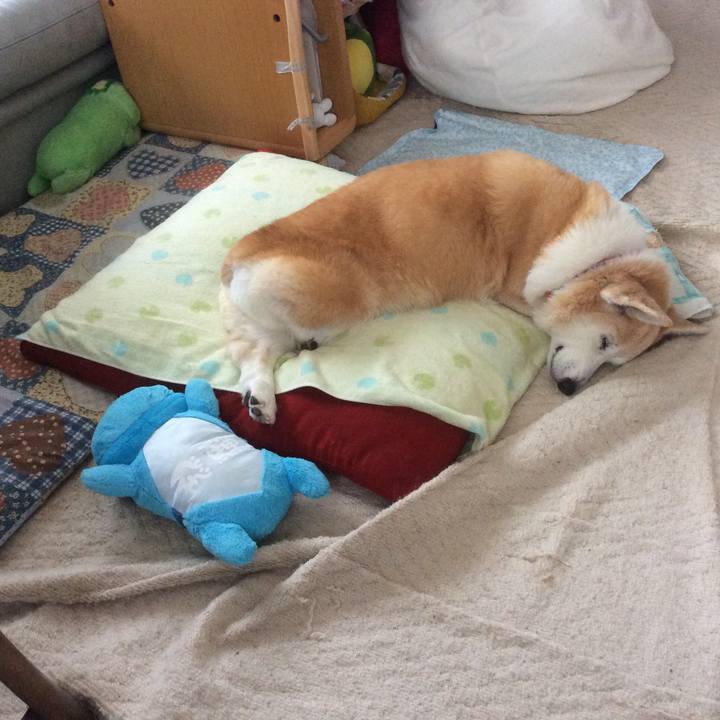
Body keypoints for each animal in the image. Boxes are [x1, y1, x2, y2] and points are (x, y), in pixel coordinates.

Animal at [220, 150, 705, 423]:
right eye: (604, 342)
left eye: (613, 363)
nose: (569, 391)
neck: (591, 257)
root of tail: (236, 258)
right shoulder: (518, 287)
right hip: (327, 294)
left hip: (274, 325)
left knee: (254, 356)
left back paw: (260, 399)